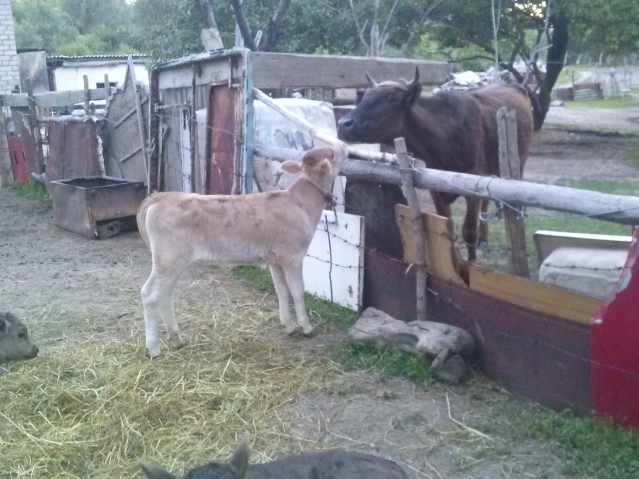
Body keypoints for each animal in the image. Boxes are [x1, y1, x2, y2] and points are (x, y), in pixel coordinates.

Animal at [138, 144, 348, 358]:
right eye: (332, 153)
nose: (343, 146)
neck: (300, 203)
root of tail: (160, 197)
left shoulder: (275, 259)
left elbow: (281, 290)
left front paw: (289, 326)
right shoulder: (293, 256)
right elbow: (297, 290)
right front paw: (306, 327)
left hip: (176, 262)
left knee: (166, 294)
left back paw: (177, 339)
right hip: (168, 259)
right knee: (150, 294)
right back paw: (153, 348)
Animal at [340, 69, 536, 260]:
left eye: (390, 97)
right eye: (365, 96)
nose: (343, 123)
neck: (444, 134)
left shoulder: (473, 186)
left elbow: (469, 231)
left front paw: (472, 262)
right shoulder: (435, 190)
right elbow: (445, 224)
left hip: (518, 162)